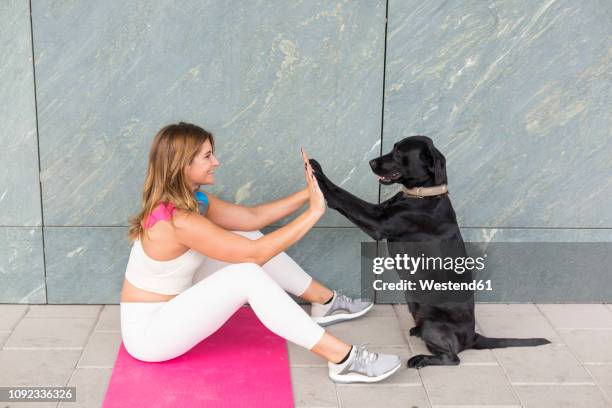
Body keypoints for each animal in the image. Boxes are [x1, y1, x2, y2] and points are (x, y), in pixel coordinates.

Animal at [310, 135, 548, 368]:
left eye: (399, 151)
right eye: (393, 147)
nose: (371, 162)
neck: (422, 194)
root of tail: (472, 336)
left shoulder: (377, 221)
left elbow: (344, 196)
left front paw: (317, 173)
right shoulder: (380, 209)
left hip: (432, 322)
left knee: (453, 358)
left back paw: (420, 359)